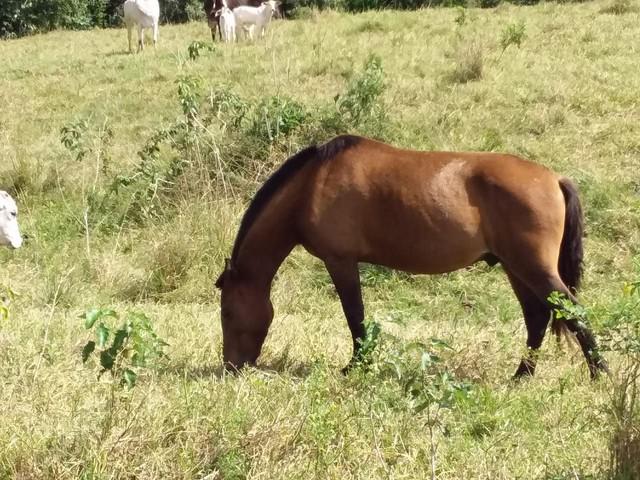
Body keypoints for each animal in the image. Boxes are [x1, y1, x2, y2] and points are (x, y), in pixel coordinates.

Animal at [216, 135, 608, 378]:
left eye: (228, 311)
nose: (232, 366)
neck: (313, 183)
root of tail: (554, 178)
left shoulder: (340, 261)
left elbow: (354, 316)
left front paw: (357, 365)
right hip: (517, 268)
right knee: (538, 317)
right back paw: (522, 375)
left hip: (533, 267)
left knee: (572, 312)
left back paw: (599, 372)